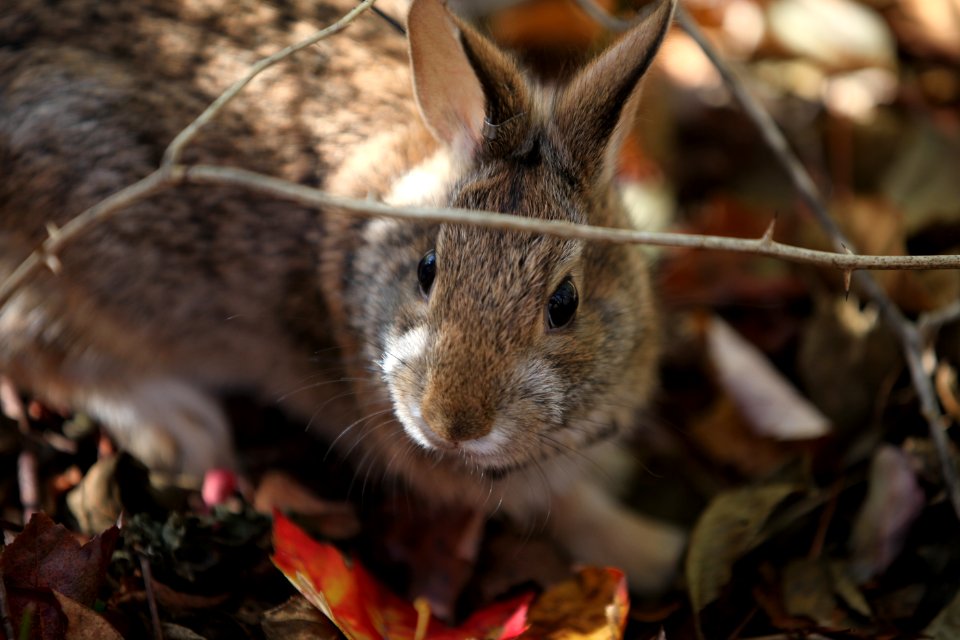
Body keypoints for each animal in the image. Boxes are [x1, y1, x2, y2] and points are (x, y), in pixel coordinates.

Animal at [1, 0, 688, 592]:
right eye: (428, 269)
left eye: (564, 304)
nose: (450, 424)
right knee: (36, 351)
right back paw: (179, 427)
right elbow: (566, 505)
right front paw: (654, 553)